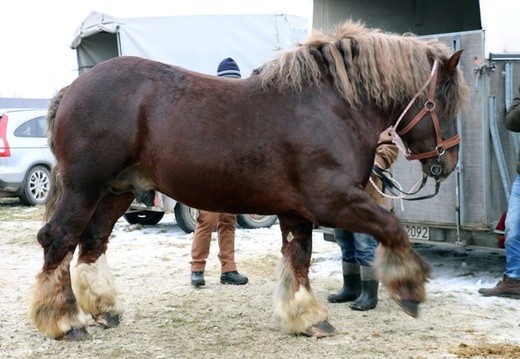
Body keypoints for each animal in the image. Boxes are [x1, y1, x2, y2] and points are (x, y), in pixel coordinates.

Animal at [29, 21, 468, 342]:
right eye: (442, 103)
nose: (446, 162)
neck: (330, 108)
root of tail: (72, 89)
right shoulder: (335, 201)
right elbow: (392, 227)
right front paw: (410, 289)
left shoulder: (296, 211)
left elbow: (299, 259)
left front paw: (306, 316)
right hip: (85, 188)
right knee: (59, 239)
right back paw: (66, 322)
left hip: (117, 191)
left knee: (92, 242)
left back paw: (104, 310)